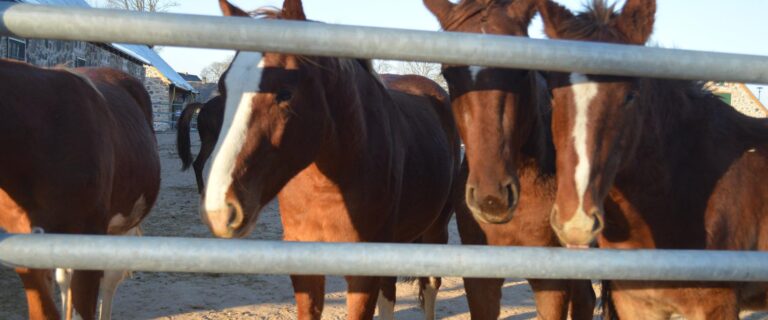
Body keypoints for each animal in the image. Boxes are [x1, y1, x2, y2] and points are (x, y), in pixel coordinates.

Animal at [200, 0, 462, 320]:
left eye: (285, 92)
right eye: (225, 88)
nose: (219, 210)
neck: (325, 188)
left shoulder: (363, 272)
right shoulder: (305, 267)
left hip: (436, 229)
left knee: (430, 285)